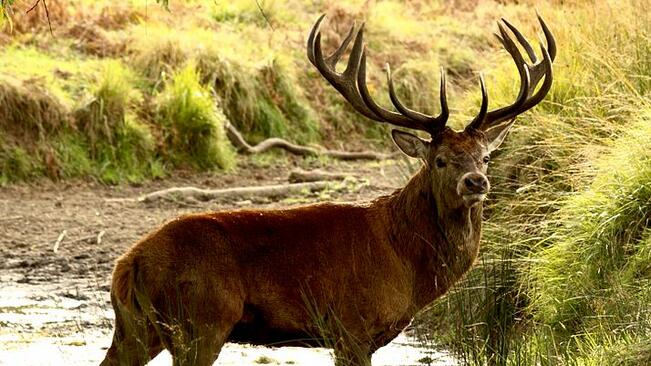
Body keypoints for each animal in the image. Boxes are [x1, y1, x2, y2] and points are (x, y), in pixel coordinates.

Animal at [100, 12, 556, 366]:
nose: (476, 182)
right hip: (201, 321)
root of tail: (129, 264)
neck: (406, 263)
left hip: (136, 327)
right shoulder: (352, 325)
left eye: (485, 156)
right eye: (440, 160)